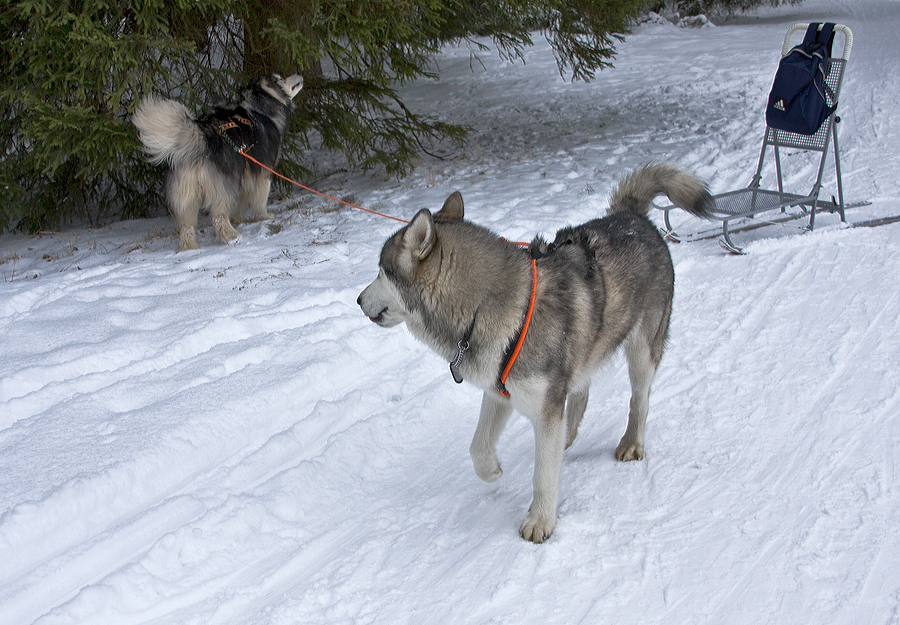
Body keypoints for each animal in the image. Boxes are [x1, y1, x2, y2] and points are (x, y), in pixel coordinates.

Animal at [133, 73, 302, 249]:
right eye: (279, 79)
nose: (299, 74)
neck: (261, 111)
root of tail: (202, 136)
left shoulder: (243, 176)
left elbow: (240, 202)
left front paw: (238, 219)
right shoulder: (263, 171)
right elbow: (260, 199)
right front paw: (265, 217)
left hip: (185, 194)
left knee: (186, 225)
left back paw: (189, 247)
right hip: (224, 185)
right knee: (219, 215)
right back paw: (232, 236)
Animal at [356, 163, 712, 540]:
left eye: (381, 271)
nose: (358, 300)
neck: (483, 309)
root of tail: (631, 217)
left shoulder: (544, 403)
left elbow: (543, 475)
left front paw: (541, 520)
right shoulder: (499, 392)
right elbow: (478, 446)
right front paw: (493, 471)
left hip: (643, 350)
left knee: (639, 399)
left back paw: (631, 442)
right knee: (581, 394)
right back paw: (568, 436)